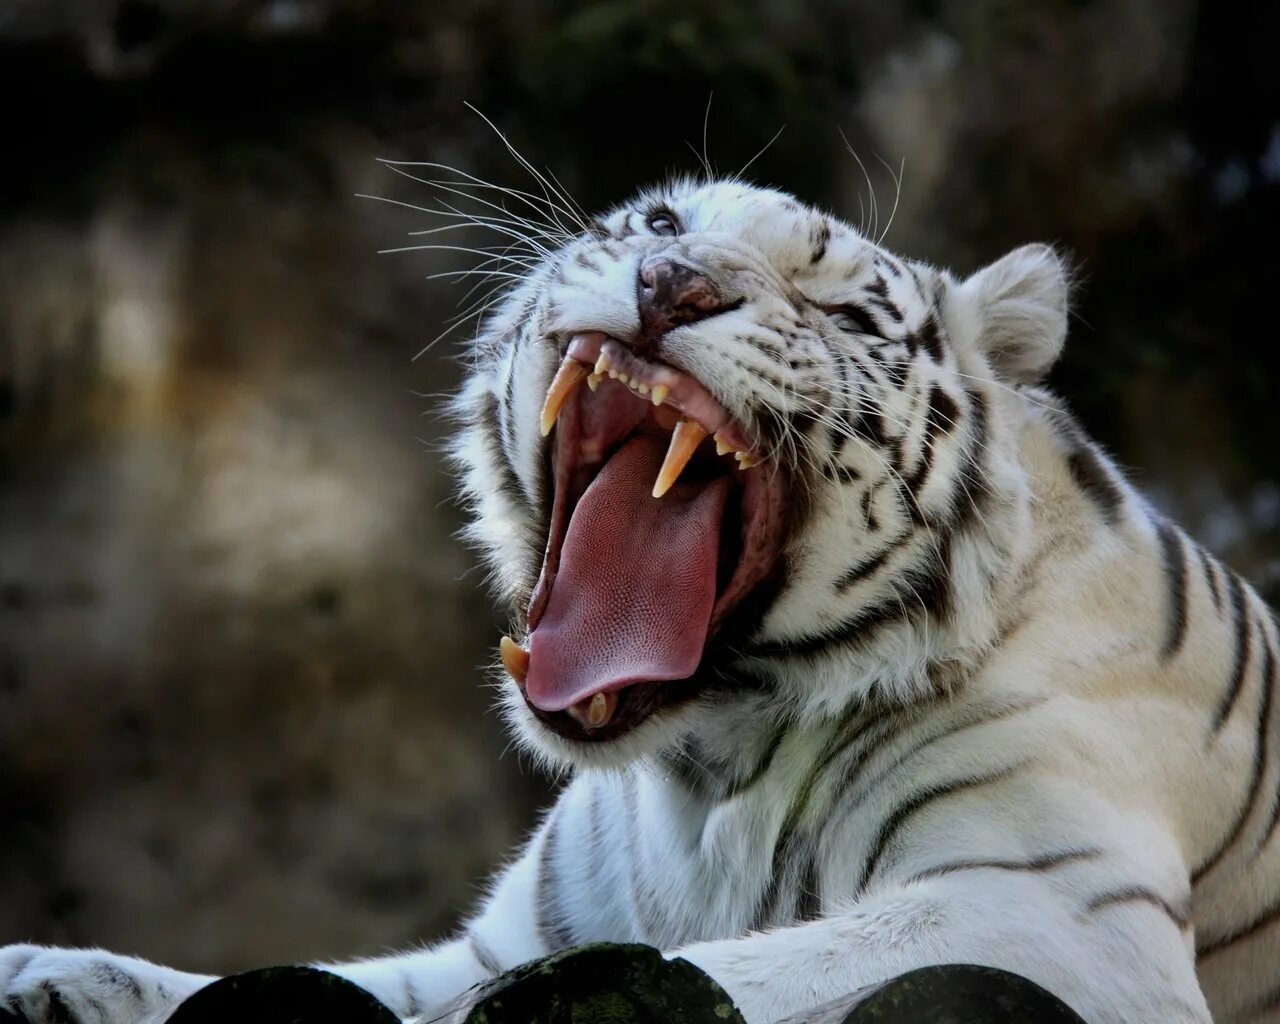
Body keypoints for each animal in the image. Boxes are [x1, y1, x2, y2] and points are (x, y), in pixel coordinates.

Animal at [5, 177, 1274, 1024]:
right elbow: (330, 979)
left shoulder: (1042, 910)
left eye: (844, 315)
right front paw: (53, 971)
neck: (708, 764)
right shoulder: (513, 941)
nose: (673, 282)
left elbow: (743, 964)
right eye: (662, 225)